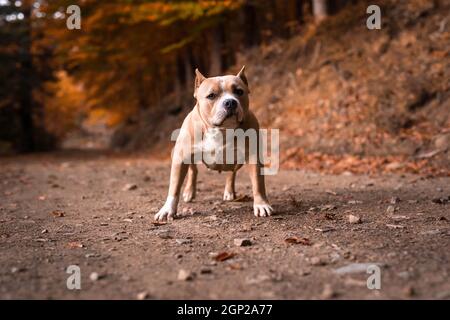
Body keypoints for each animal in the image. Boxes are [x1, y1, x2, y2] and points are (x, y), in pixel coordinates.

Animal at [155, 66, 274, 221]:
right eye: (211, 96)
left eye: (239, 92)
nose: (230, 102)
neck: (221, 130)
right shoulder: (180, 157)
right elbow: (174, 187)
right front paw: (167, 209)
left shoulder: (253, 156)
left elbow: (258, 183)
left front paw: (261, 204)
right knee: (193, 170)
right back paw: (189, 192)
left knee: (231, 172)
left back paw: (229, 191)